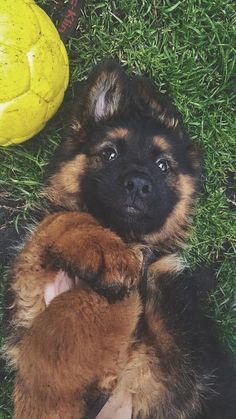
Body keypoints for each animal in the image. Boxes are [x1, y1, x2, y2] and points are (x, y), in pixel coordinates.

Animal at [4, 60, 236, 418]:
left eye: (162, 165)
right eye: (110, 154)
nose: (139, 184)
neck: (128, 238)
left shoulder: (171, 356)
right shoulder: (28, 297)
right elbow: (55, 222)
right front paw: (103, 249)